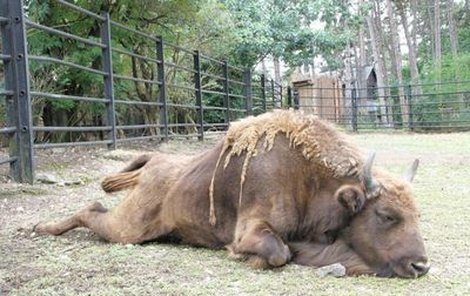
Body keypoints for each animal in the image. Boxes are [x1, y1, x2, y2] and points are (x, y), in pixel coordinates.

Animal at [35, 110, 428, 278]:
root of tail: (157, 166)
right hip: (130, 228)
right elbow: (277, 252)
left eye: (417, 215)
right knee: (93, 208)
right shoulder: (252, 229)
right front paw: (248, 258)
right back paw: (41, 229)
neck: (309, 181)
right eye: (386, 215)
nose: (420, 265)